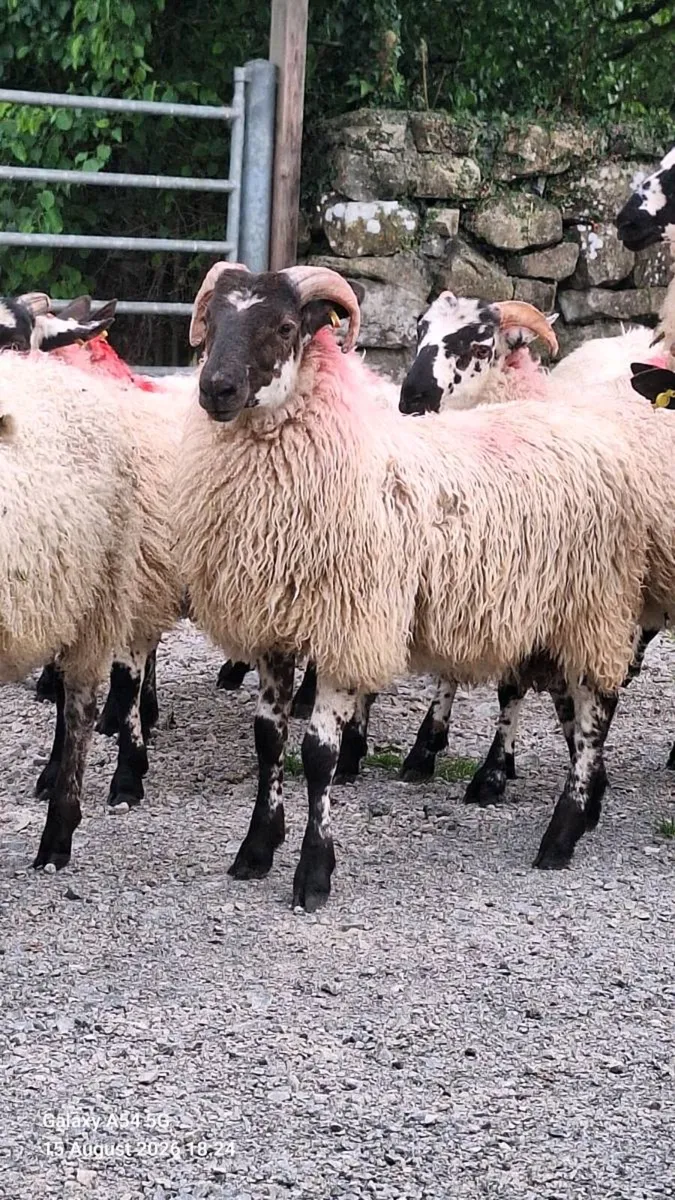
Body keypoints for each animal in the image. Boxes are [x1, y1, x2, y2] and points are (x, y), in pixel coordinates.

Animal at [173, 261, 675, 910]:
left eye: (285, 326)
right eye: (211, 320)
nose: (216, 390)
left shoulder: (351, 624)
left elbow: (317, 755)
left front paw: (314, 872)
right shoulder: (275, 628)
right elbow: (267, 739)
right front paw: (257, 848)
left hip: (594, 605)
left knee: (596, 705)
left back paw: (562, 832)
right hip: (546, 613)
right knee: (570, 702)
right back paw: (584, 804)